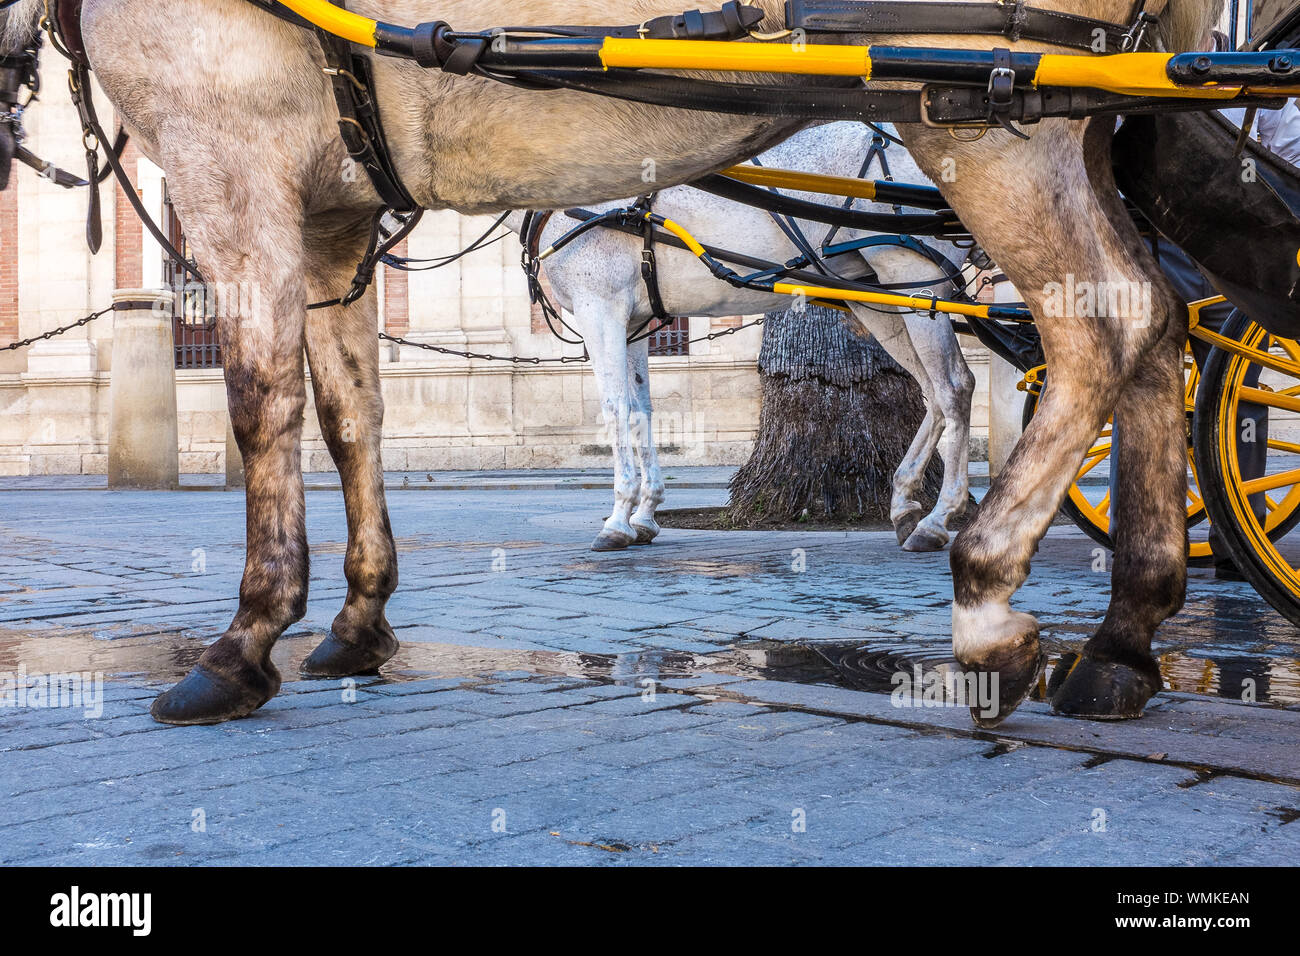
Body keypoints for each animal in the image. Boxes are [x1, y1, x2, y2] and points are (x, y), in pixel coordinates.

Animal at [505, 121, 974, 554]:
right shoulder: (632, 323)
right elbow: (642, 411)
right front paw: (644, 513)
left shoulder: (599, 308)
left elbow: (616, 408)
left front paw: (619, 518)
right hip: (879, 299)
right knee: (933, 393)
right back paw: (906, 504)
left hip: (918, 283)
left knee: (954, 387)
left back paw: (937, 519)